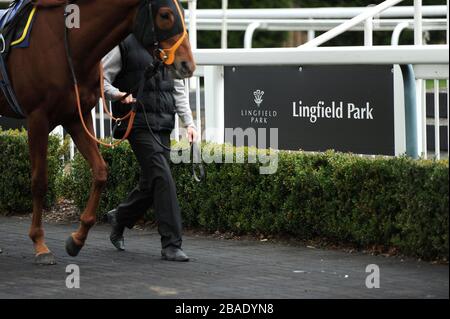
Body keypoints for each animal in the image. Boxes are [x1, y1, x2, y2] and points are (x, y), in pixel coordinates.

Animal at [0, 0, 197, 264]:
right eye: (165, 15)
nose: (188, 65)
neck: (67, 46)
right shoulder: (37, 118)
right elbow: (40, 181)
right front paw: (40, 244)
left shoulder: (76, 116)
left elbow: (101, 171)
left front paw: (77, 239)